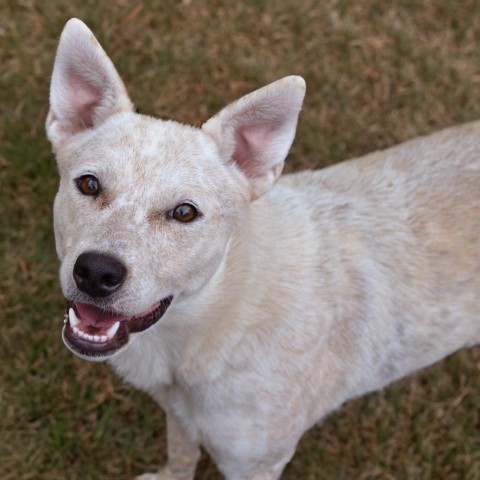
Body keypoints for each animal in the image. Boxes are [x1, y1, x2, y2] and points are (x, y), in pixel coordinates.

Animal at [48, 17, 480, 480]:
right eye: (89, 184)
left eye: (184, 212)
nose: (96, 273)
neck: (215, 322)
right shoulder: (179, 415)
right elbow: (181, 456)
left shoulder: (256, 462)